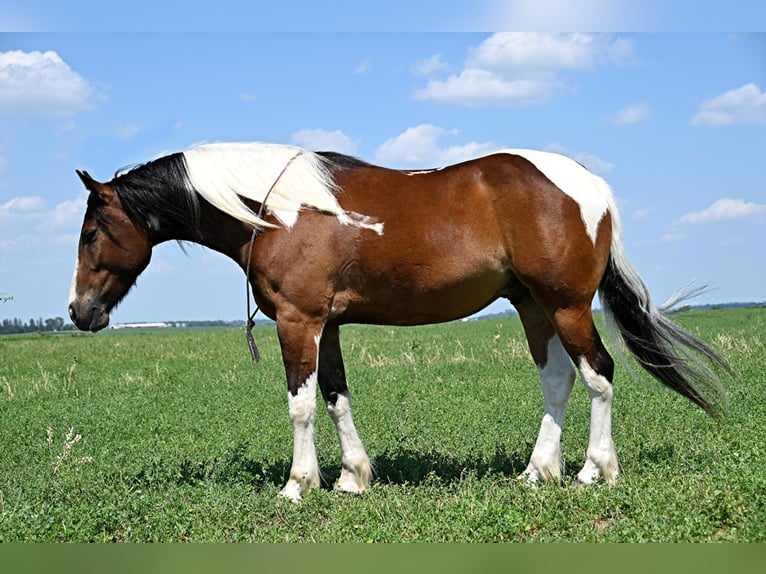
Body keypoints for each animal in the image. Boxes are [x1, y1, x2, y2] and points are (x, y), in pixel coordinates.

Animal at [67, 143, 732, 500]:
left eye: (93, 231)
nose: (79, 311)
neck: (278, 211)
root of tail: (587, 182)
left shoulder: (298, 322)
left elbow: (301, 405)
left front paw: (297, 485)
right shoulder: (327, 325)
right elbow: (335, 397)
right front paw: (352, 478)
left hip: (565, 304)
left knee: (598, 373)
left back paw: (596, 471)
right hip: (532, 306)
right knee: (558, 380)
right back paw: (536, 471)